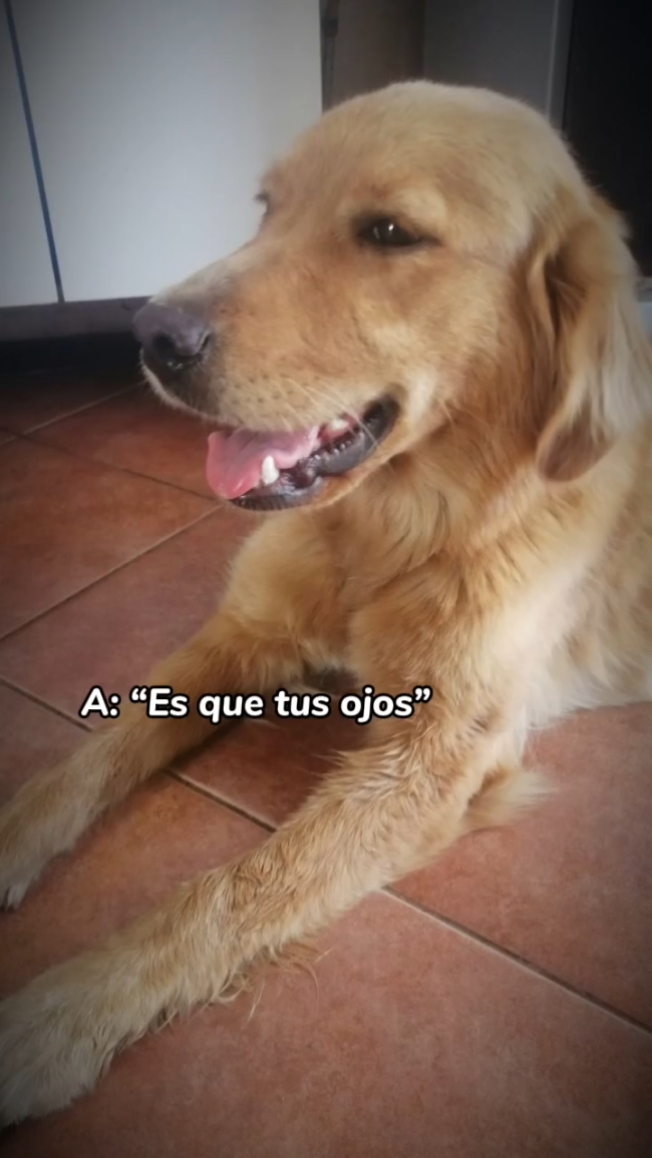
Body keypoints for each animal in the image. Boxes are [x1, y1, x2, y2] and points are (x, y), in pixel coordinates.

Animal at [1, 81, 651, 1123]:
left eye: (389, 232)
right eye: (267, 208)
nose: (149, 335)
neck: (389, 532)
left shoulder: (429, 764)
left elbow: (235, 889)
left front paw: (59, 1016)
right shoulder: (243, 633)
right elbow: (92, 756)